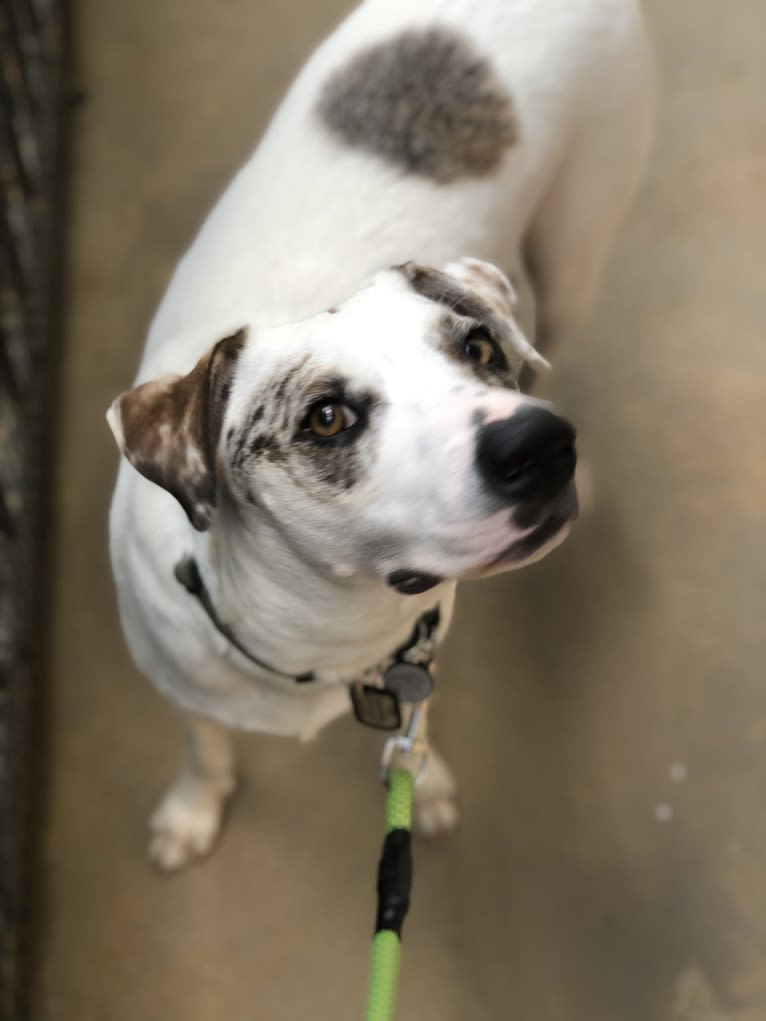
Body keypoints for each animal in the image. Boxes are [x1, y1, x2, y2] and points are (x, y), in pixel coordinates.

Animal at [106, 0, 653, 869]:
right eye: (326, 416)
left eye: (478, 349)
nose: (543, 448)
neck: (318, 632)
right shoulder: (180, 683)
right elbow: (206, 747)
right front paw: (192, 809)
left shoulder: (419, 663)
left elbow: (413, 735)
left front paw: (421, 789)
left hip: (575, 249)